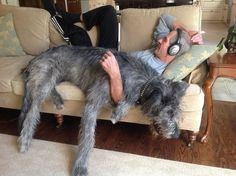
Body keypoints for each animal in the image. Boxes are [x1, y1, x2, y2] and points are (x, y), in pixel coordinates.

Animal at [17, 45, 188, 175]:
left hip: (56, 75)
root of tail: (33, 60)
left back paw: (58, 99)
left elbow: (128, 99)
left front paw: (119, 111)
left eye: (177, 114)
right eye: (169, 113)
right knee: (33, 110)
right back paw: (25, 140)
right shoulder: (93, 103)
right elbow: (88, 138)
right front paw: (81, 166)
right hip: (47, 74)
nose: (176, 135)